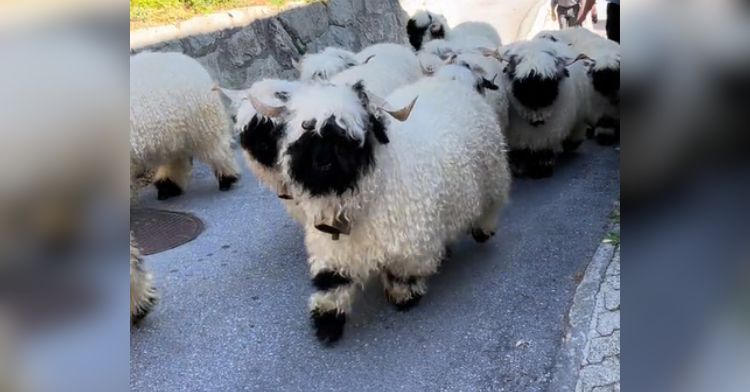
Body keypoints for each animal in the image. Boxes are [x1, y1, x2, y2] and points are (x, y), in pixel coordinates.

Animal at [129, 51, 241, 199]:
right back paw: (168, 186)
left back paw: (227, 178)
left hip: (200, 120)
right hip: (173, 129)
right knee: (176, 156)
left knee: (215, 146)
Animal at [496, 37, 596, 178]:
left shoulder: (548, 135)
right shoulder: (516, 137)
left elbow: (544, 152)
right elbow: (519, 152)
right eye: (520, 83)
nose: (538, 120)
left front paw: (542, 170)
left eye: (551, 83)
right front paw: (518, 167)